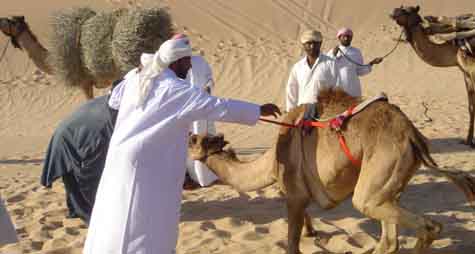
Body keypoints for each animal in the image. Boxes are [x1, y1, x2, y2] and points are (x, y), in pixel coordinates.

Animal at [190, 89, 475, 254]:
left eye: (194, 141)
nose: (190, 136)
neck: (271, 161)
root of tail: (413, 135)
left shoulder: (293, 194)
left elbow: (291, 245)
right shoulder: (299, 196)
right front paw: (312, 233)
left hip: (379, 172)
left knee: (426, 225)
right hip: (390, 180)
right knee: (389, 238)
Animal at [390, 5, 475, 147]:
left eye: (406, 10)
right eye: (401, 7)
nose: (392, 12)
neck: (454, 47)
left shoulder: (472, 69)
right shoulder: (465, 73)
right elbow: (471, 107)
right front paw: (468, 141)